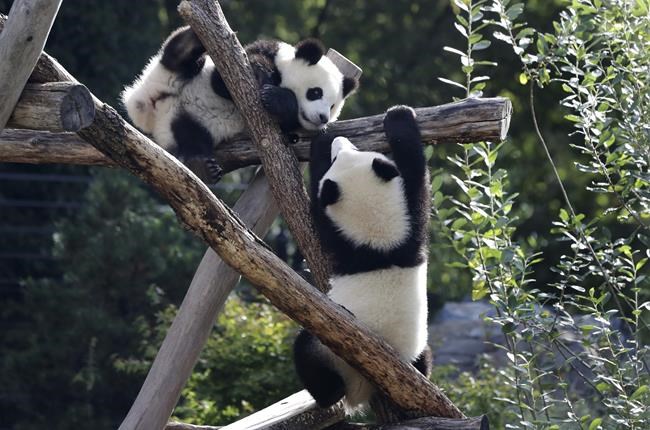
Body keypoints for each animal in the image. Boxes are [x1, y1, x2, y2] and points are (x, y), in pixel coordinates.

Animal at [121, 26, 359, 182]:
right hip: (171, 74)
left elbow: (286, 124)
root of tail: (151, 107)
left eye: (333, 106)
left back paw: (202, 167)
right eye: (315, 93)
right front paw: (262, 74)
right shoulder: (253, 55)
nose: (323, 118)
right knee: (178, 57)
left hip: (183, 124)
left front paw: (277, 99)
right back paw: (190, 39)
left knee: (191, 138)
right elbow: (222, 82)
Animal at [294, 105, 432, 412]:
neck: (378, 238)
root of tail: (363, 387)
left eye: (339, 157)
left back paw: (329, 394)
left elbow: (317, 215)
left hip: (330, 350)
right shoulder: (411, 225)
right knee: (425, 357)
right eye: (352, 150)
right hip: (417, 348)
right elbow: (416, 174)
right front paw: (401, 120)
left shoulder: (340, 239)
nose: (339, 141)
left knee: (306, 349)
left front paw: (321, 142)